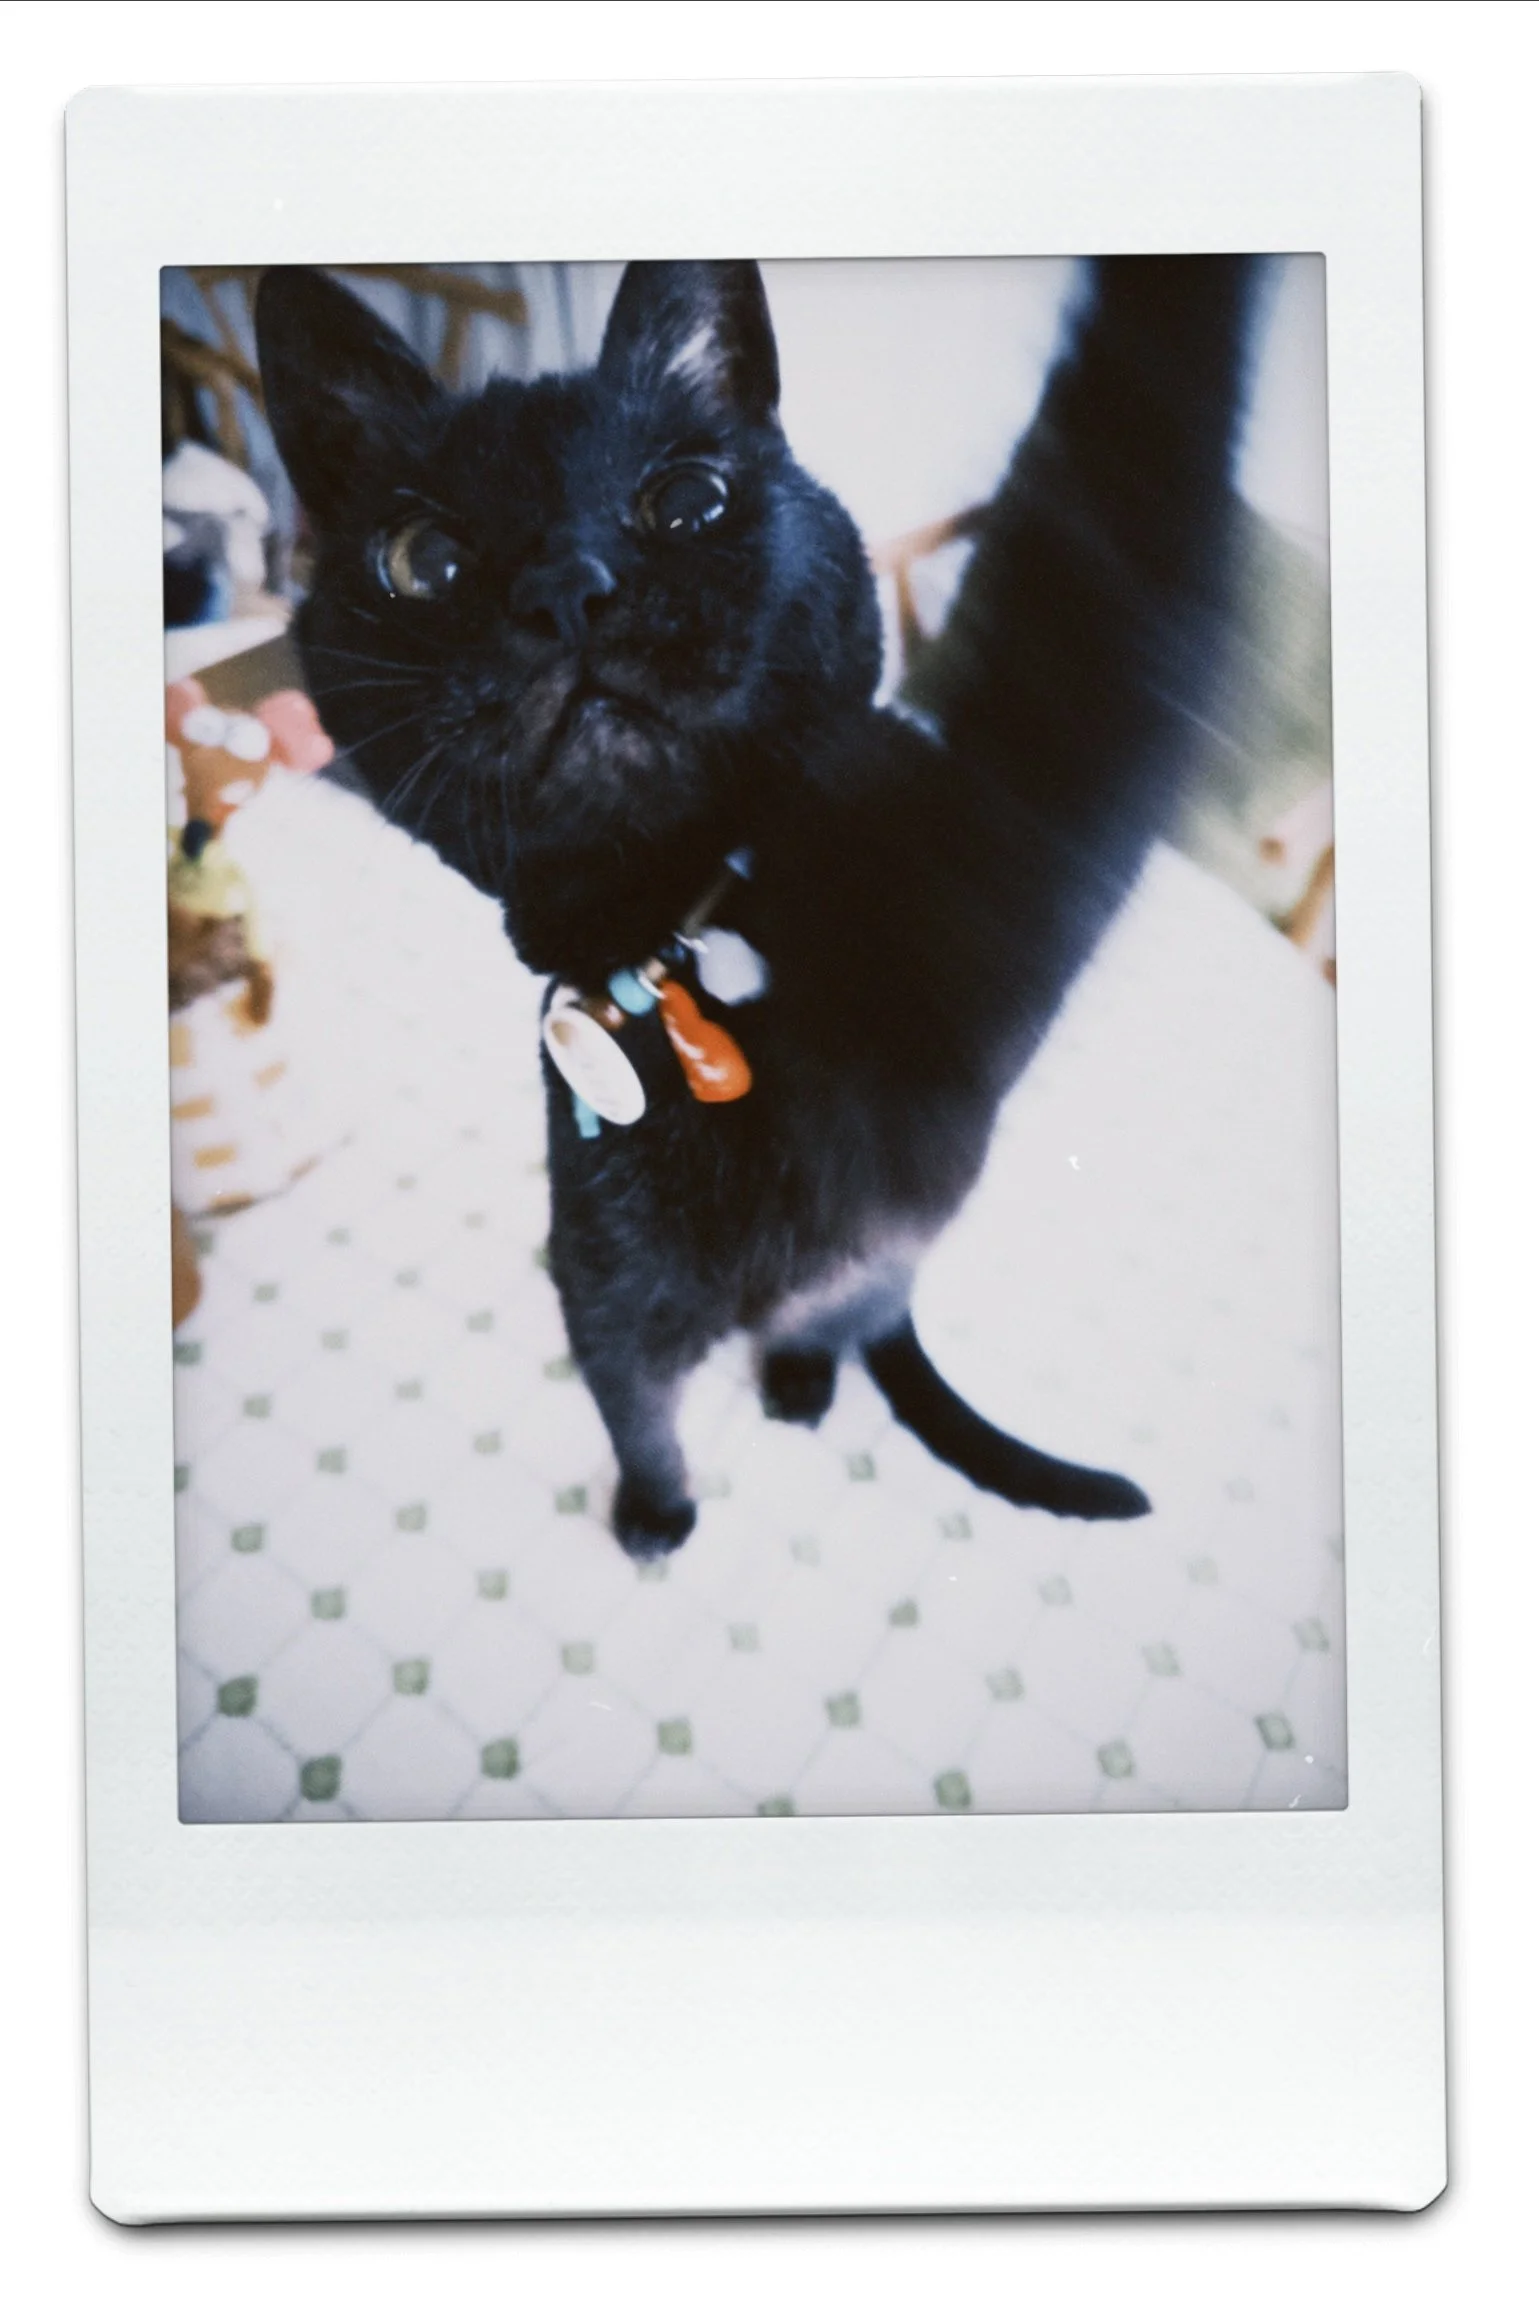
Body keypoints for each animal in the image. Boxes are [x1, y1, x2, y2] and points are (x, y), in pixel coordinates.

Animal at [255, 254, 1258, 1557]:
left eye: (689, 499)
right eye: (425, 559)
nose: (566, 589)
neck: (683, 937)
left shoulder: (1039, 780)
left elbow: (1121, 479)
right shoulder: (607, 1283)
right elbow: (635, 1408)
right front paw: (656, 1513)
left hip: (880, 1255)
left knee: (830, 1321)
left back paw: (799, 1382)